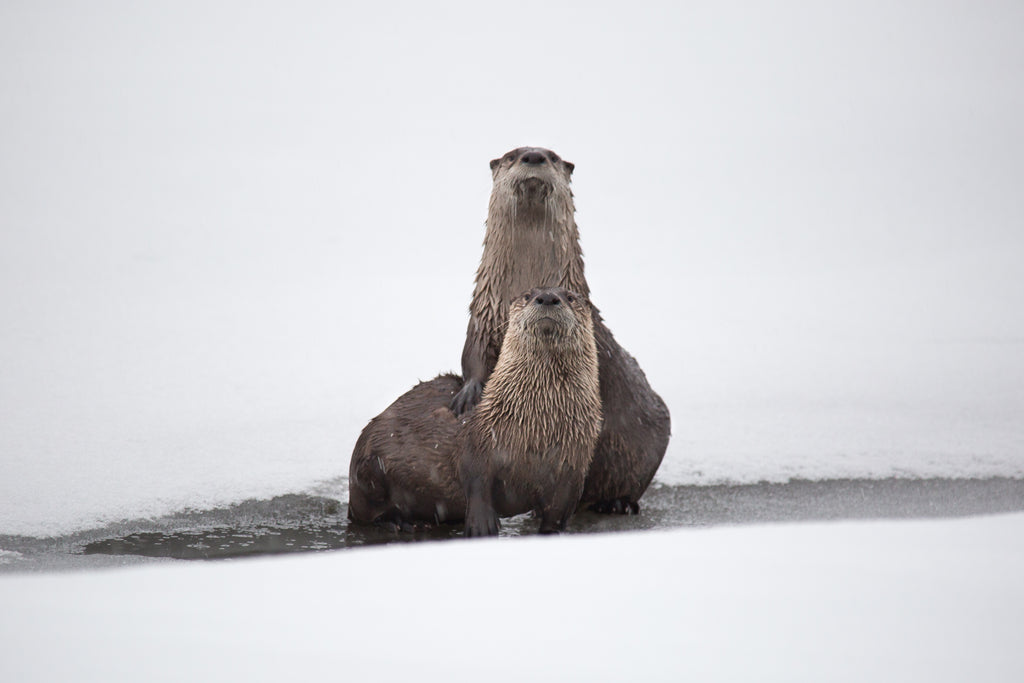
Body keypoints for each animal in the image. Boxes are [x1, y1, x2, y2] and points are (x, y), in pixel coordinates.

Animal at [348, 287, 601, 536]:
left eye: (570, 297)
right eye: (528, 295)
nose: (547, 297)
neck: (537, 431)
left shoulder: (573, 470)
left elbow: (558, 513)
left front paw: (553, 533)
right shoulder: (478, 443)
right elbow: (476, 482)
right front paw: (482, 526)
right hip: (367, 469)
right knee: (366, 512)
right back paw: (400, 522)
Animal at [450, 147, 670, 514]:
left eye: (552, 157)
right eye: (511, 156)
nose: (533, 155)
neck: (525, 284)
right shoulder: (483, 315)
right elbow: (473, 357)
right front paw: (468, 395)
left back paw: (617, 503)